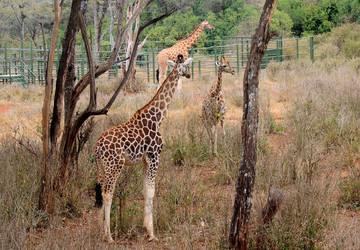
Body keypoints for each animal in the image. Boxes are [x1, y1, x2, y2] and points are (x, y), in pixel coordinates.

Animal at [94, 54, 193, 242]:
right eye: (185, 66)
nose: (189, 75)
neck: (158, 117)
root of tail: (97, 147)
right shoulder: (155, 156)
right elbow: (152, 192)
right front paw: (152, 234)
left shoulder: (146, 160)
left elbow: (145, 191)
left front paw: (147, 229)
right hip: (114, 165)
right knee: (108, 193)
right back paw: (109, 237)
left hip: (102, 167)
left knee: (102, 192)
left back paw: (101, 233)